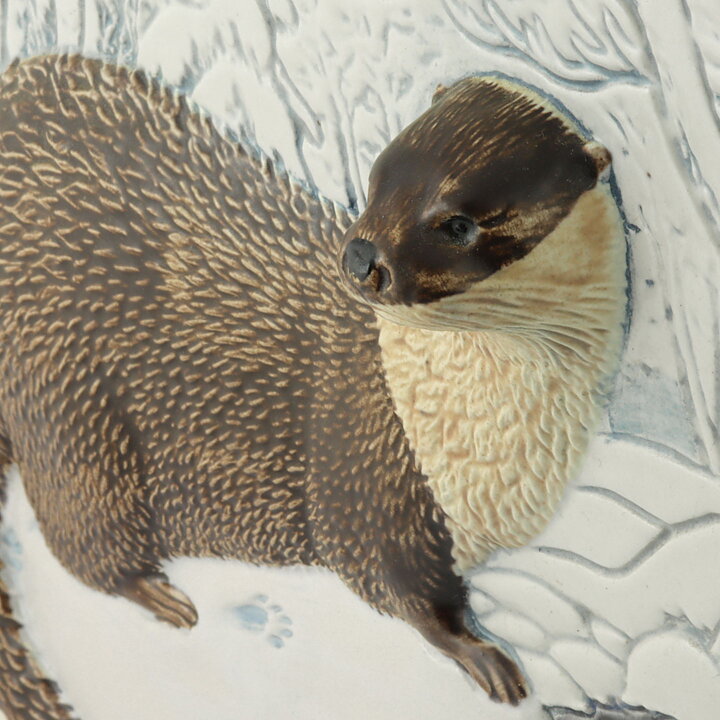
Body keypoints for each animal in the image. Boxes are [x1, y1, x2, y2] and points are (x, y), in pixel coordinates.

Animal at [0, 54, 626, 719]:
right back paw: (161, 596)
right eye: (377, 175)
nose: (361, 258)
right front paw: (485, 658)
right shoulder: (364, 474)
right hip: (65, 394)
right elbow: (396, 586)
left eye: (459, 223)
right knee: (81, 522)